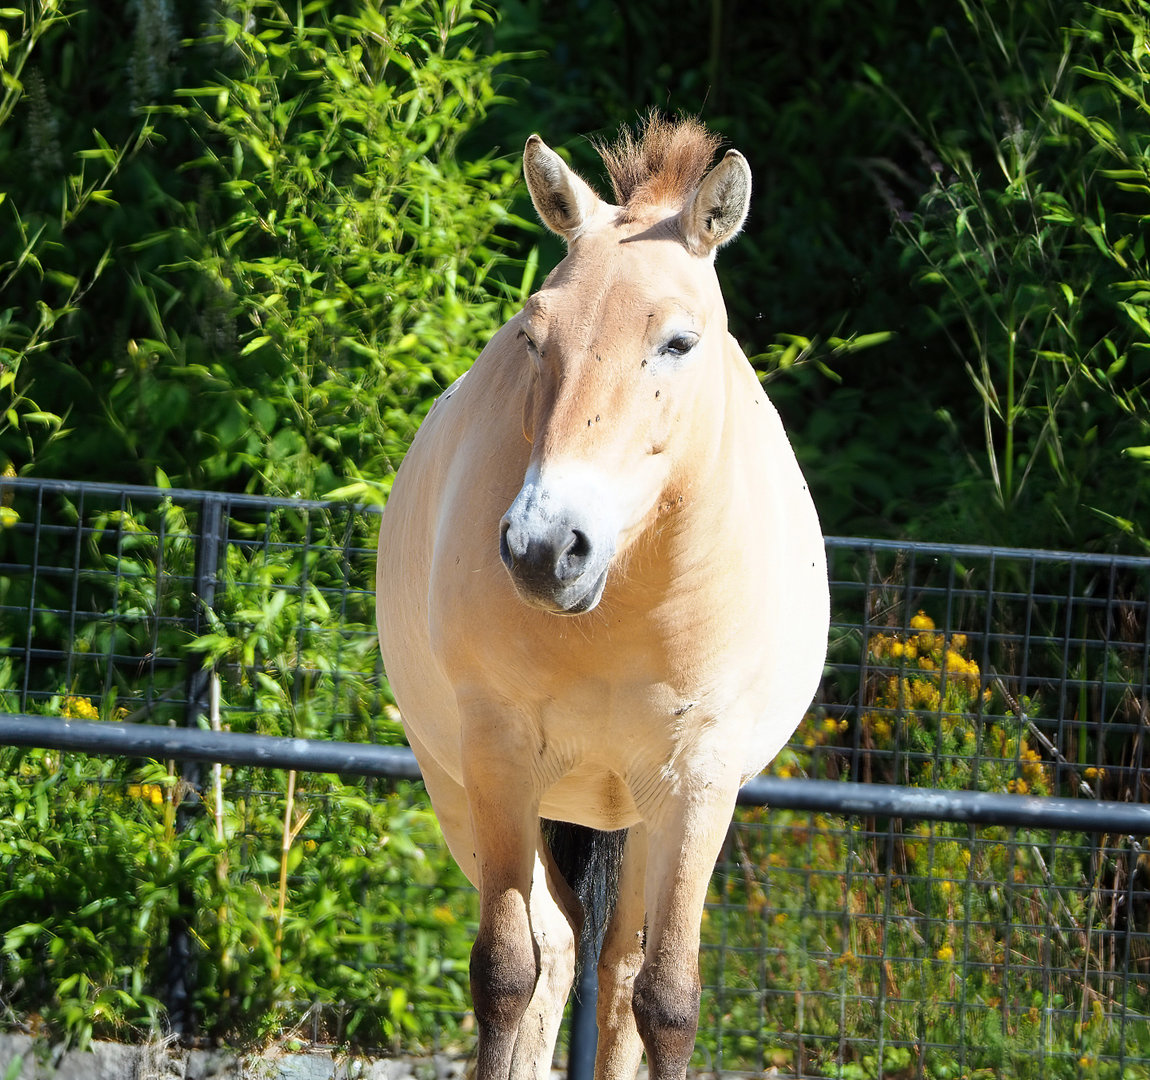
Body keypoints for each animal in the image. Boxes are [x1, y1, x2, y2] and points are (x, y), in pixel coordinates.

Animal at [375, 115, 829, 1080]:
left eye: (679, 343)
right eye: (533, 335)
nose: (546, 548)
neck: (627, 606)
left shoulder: (700, 781)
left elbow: (669, 999)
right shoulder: (498, 759)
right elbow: (506, 974)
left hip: (647, 815)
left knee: (619, 972)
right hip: (461, 789)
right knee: (553, 955)